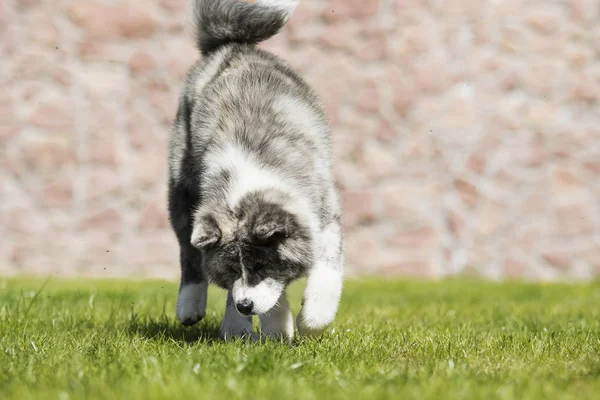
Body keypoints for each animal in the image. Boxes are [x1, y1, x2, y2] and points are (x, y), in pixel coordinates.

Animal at [166, 0, 344, 340]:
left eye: (261, 266)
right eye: (232, 269)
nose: (245, 307)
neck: (247, 181)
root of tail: (231, 45)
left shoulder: (323, 216)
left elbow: (327, 266)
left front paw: (312, 318)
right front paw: (245, 327)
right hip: (181, 186)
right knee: (188, 251)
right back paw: (190, 305)